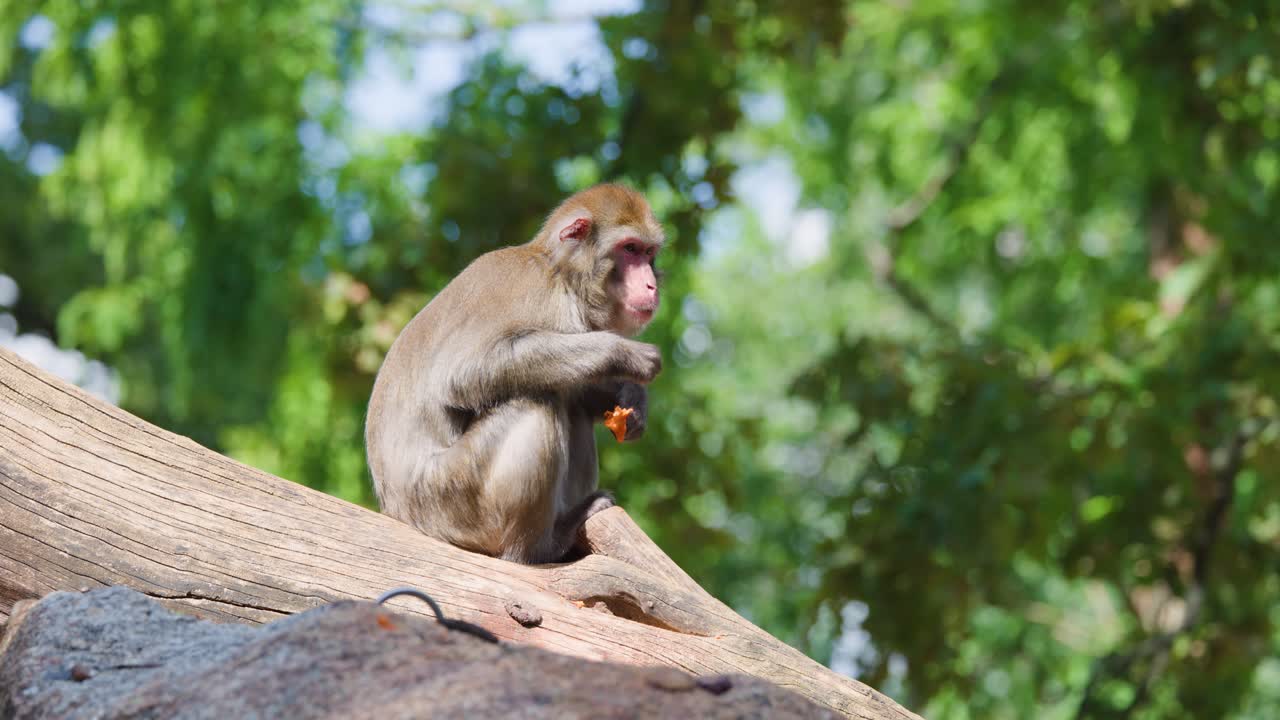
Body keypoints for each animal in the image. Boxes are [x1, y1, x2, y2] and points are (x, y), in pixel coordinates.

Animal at [365, 184, 664, 564]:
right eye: (629, 249)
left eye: (648, 253)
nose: (652, 285)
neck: (563, 276)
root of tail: (397, 510)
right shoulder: (538, 293)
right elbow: (461, 374)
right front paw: (623, 353)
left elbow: (580, 393)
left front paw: (633, 398)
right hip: (450, 496)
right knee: (536, 402)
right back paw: (538, 547)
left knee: (568, 405)